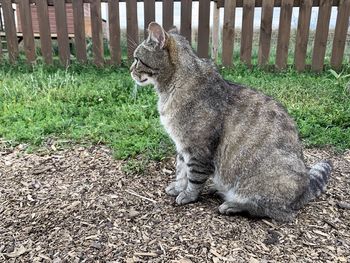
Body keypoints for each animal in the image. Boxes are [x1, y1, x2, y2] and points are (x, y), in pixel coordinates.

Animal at [130, 21, 332, 222]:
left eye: (137, 59)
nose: (130, 70)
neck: (169, 89)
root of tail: (305, 189)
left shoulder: (197, 150)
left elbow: (193, 176)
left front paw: (188, 195)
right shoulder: (181, 147)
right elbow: (181, 170)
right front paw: (179, 187)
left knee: (273, 211)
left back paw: (233, 205)